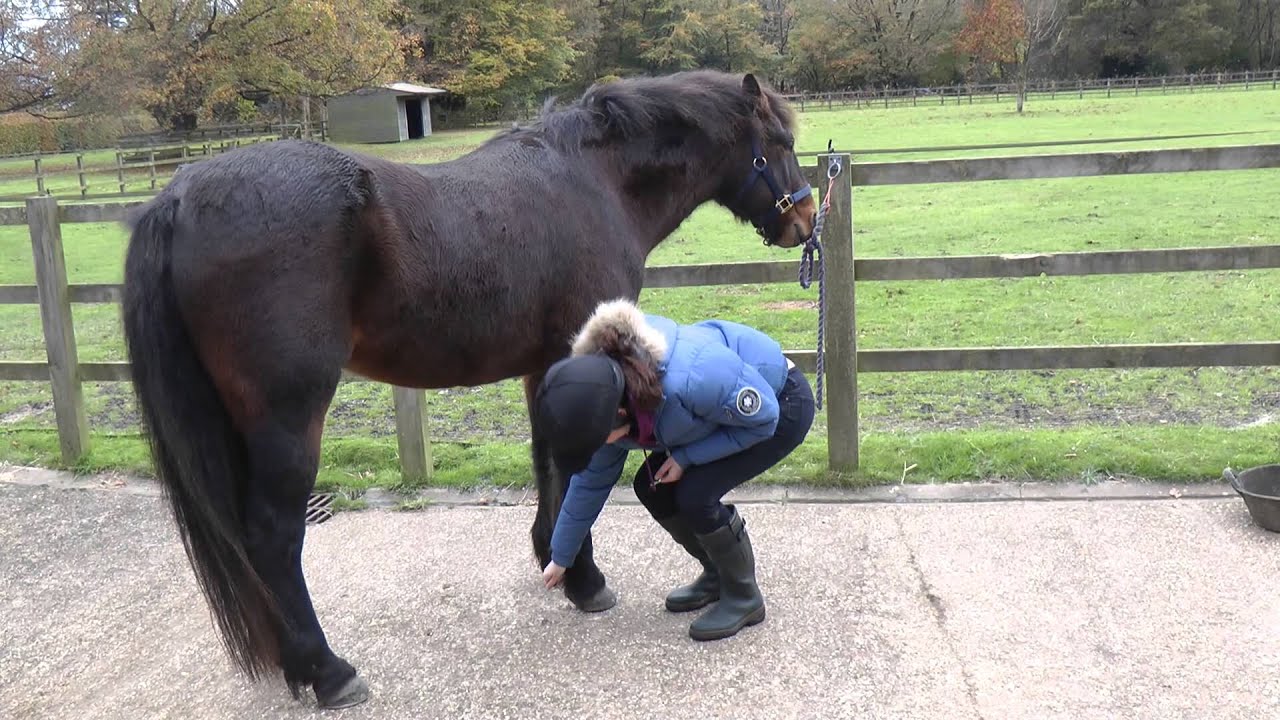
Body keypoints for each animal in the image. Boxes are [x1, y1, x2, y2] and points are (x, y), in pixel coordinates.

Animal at [119, 69, 817, 709]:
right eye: (780, 140)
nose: (806, 219)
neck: (596, 182)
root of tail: (177, 198)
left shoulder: (546, 366)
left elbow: (548, 461)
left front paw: (560, 563)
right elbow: (572, 465)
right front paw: (586, 581)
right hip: (288, 417)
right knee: (272, 537)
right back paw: (329, 672)